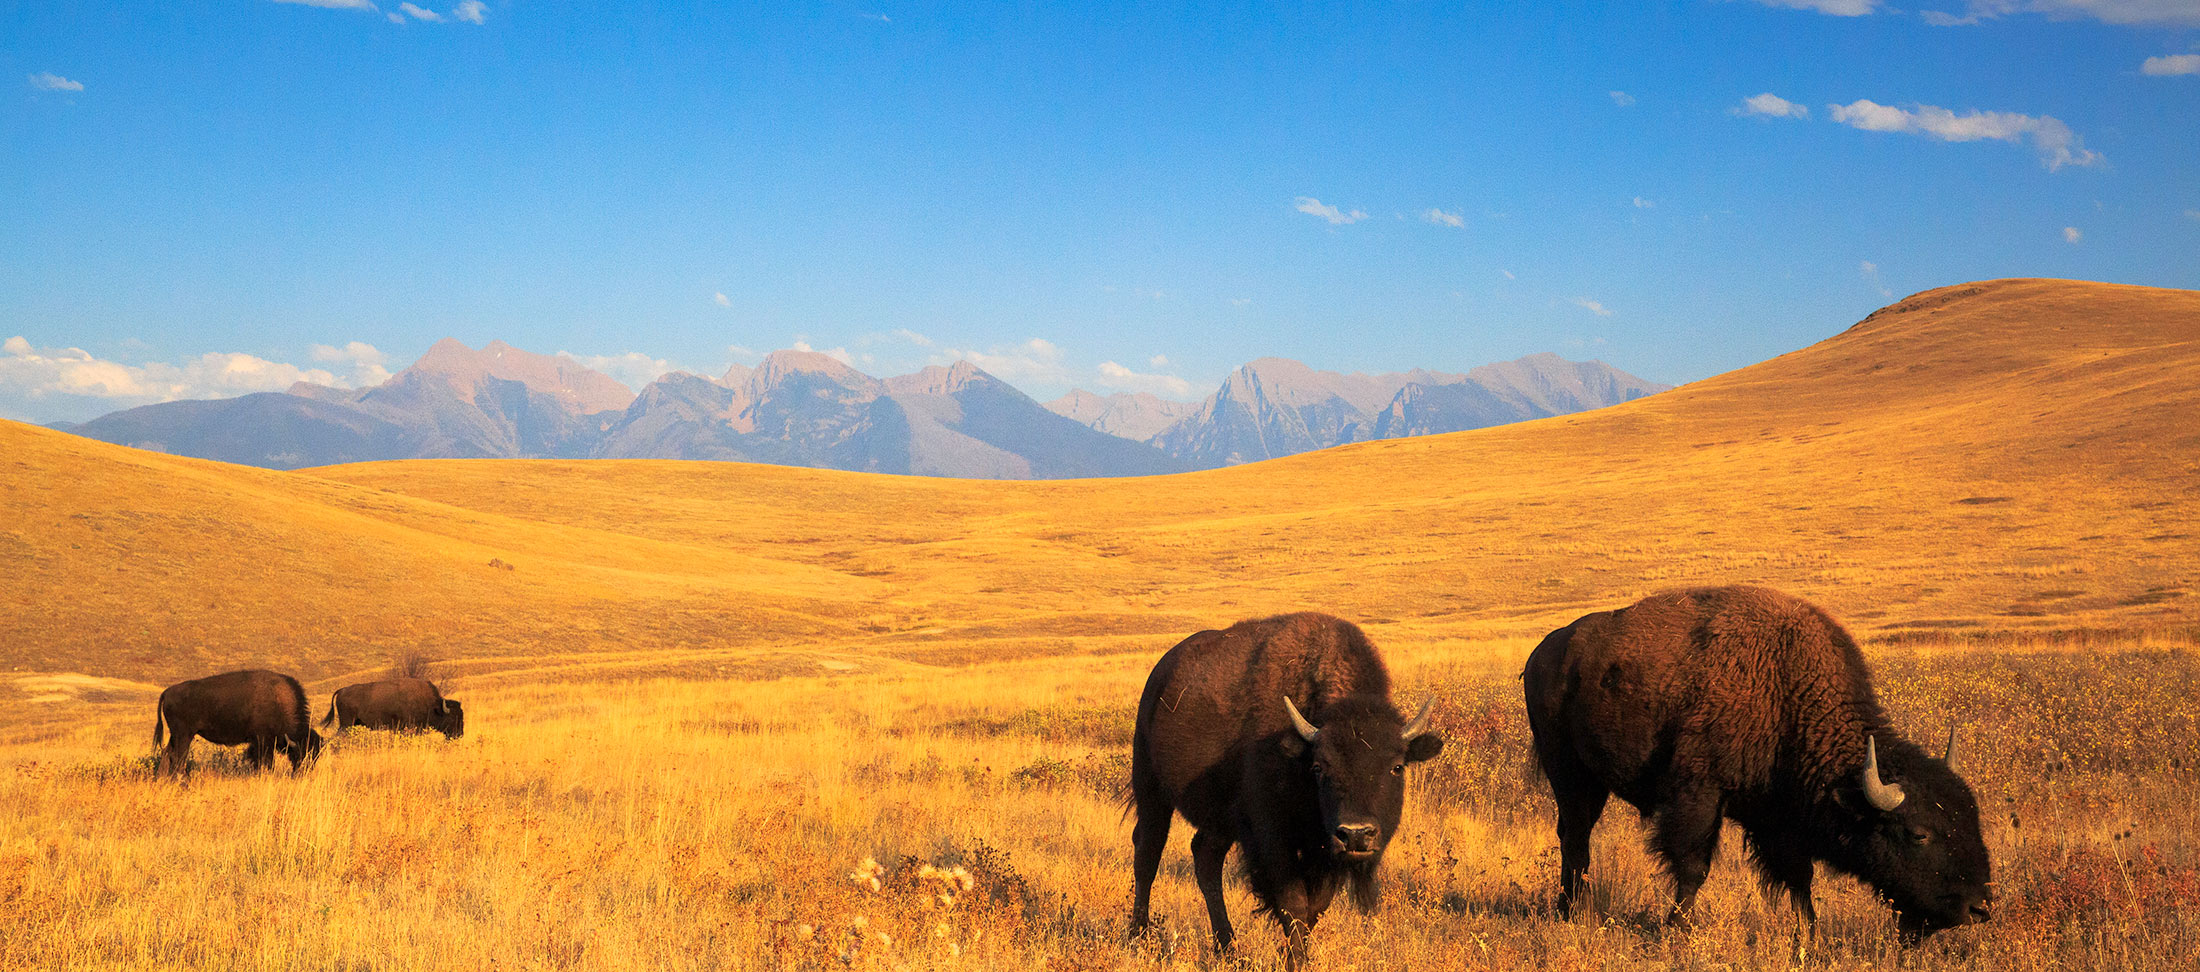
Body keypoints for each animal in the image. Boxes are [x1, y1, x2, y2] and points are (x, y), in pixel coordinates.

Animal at [153, 669, 323, 776]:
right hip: (184, 735)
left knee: (167, 753)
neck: (278, 700)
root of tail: (167, 692)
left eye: (316, 755)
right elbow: (266, 762)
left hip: (176, 735)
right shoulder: (263, 741)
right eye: (300, 753)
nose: (303, 773)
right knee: (178, 757)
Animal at [1128, 612, 1443, 967]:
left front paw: (1294, 956)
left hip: (1219, 819)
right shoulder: (1272, 838)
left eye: (1397, 766)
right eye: (1319, 767)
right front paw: (1294, 961)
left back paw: (1229, 949)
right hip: (1151, 790)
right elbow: (1293, 903)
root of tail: (1159, 675)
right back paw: (1139, 936)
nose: (1356, 834)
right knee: (1148, 852)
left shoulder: (1324, 849)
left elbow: (1315, 908)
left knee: (1205, 856)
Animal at [1522, 586, 1990, 940]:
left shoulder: (1780, 817)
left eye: (1972, 819)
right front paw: (1678, 930)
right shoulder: (1699, 796)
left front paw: (1810, 935)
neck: (1786, 691)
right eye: (1918, 834)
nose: (1978, 907)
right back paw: (1571, 912)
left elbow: (1799, 877)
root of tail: (1542, 652)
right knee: (1575, 837)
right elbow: (1693, 865)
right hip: (1569, 774)